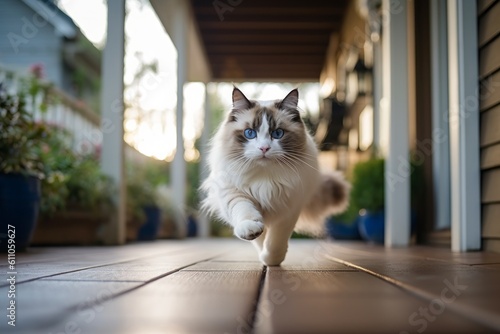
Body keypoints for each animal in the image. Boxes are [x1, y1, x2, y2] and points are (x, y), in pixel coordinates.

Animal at [201, 87, 350, 264]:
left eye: (278, 133)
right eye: (250, 133)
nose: (264, 148)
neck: (265, 179)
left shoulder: (288, 209)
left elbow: (275, 241)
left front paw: (271, 260)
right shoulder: (235, 193)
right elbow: (248, 217)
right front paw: (253, 233)